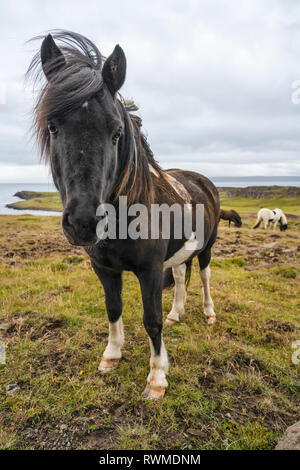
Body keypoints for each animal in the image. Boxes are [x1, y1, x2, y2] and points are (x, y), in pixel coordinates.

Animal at [27, 31, 220, 400]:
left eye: (116, 132)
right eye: (53, 128)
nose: (84, 222)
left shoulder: (149, 271)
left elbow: (151, 319)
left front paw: (157, 377)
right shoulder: (103, 269)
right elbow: (113, 308)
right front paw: (112, 354)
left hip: (207, 248)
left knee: (202, 277)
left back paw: (208, 314)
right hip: (179, 252)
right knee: (180, 277)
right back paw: (177, 314)